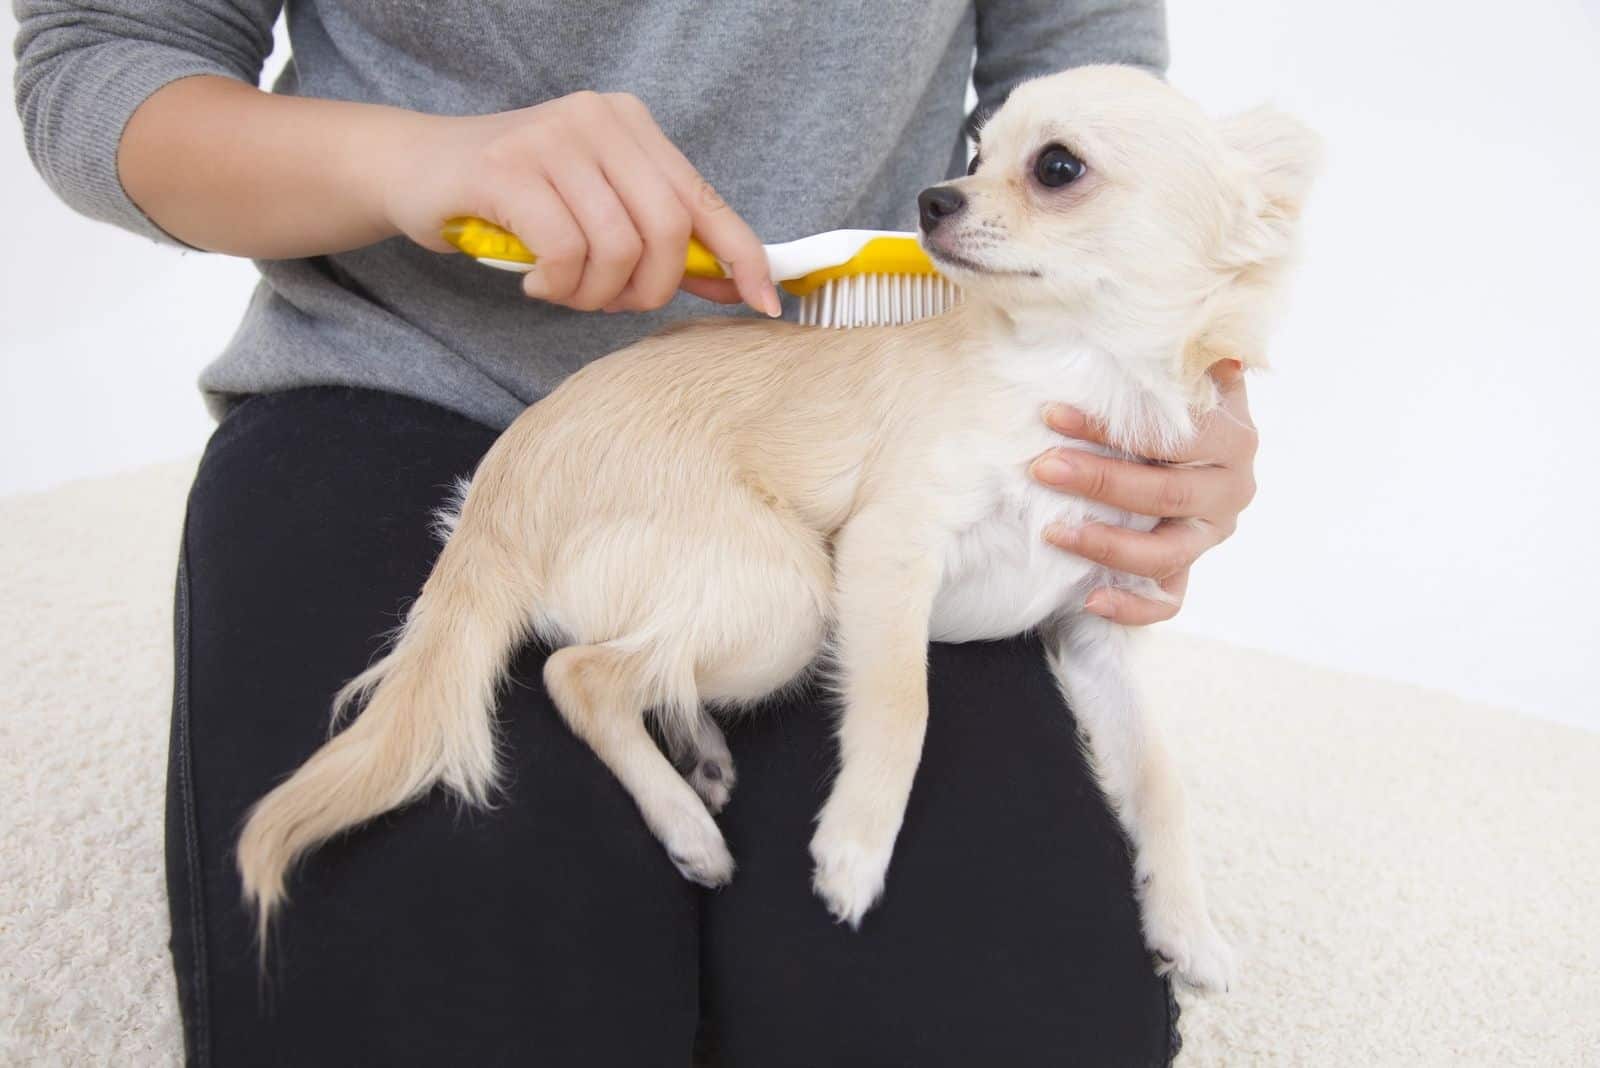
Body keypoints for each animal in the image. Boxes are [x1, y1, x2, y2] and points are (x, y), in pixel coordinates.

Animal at [233, 64, 1312, 991]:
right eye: (975, 152)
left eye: (1055, 167)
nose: (932, 200)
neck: (1075, 373)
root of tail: (500, 488)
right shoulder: (890, 552)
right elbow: (902, 706)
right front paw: (858, 848)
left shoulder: (1098, 627)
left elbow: (1160, 780)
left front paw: (1187, 924)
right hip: (789, 596)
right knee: (578, 673)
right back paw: (686, 825)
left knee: (637, 663)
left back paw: (698, 747)